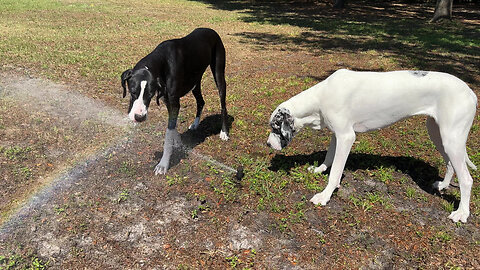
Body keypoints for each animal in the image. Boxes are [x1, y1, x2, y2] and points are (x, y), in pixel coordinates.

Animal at [121, 28, 228, 175]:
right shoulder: (168, 101)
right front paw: (177, 142)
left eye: (150, 94)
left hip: (219, 75)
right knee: (201, 101)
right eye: (132, 92)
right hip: (195, 82)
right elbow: (173, 126)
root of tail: (211, 30)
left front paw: (163, 164)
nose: (139, 117)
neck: (162, 61)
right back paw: (195, 124)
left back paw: (224, 132)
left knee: (223, 105)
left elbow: (168, 132)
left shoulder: (174, 103)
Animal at [268, 68, 478, 223]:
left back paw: (462, 213)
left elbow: (335, 173)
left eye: (275, 127)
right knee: (450, 164)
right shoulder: (337, 135)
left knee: (467, 180)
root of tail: (471, 93)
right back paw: (442, 185)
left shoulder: (346, 137)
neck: (321, 96)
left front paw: (325, 195)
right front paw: (319, 169)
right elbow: (329, 157)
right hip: (438, 135)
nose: (268, 144)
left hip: (452, 140)